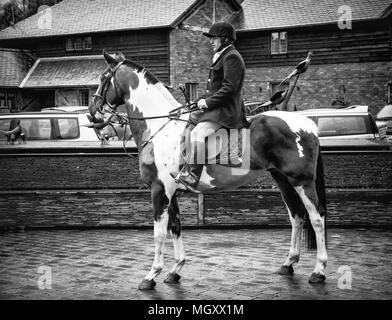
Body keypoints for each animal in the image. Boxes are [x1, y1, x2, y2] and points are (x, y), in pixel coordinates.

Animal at [89, 50, 328, 290]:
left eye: (102, 78)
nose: (92, 113)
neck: (161, 128)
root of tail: (309, 124)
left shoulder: (160, 189)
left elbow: (159, 233)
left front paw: (151, 275)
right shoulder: (171, 191)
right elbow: (175, 226)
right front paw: (175, 270)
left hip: (302, 181)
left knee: (316, 218)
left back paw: (319, 270)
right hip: (283, 180)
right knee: (297, 216)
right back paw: (289, 263)